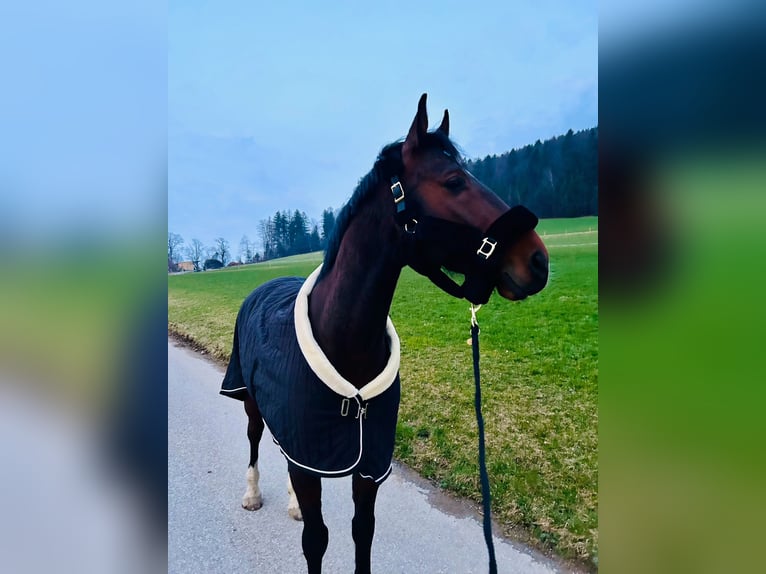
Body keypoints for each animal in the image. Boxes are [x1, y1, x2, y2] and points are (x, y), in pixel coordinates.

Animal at [222, 95, 552, 574]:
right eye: (454, 181)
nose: (538, 260)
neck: (345, 342)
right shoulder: (311, 453)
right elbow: (316, 541)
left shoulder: (368, 466)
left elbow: (363, 534)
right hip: (250, 400)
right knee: (253, 441)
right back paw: (252, 494)